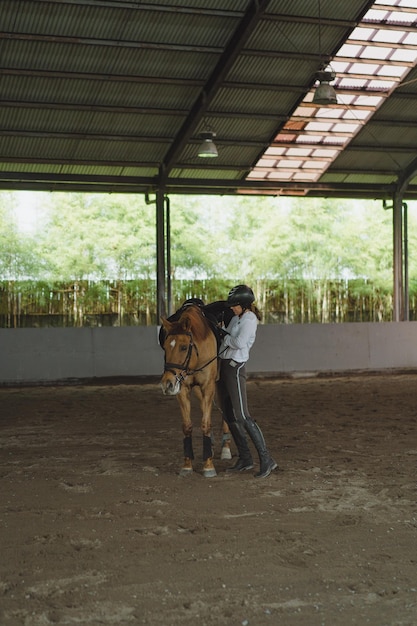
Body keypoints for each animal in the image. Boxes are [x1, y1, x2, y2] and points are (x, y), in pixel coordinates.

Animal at [159, 304, 231, 476]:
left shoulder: (208, 385)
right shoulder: (183, 388)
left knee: (224, 408)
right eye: (165, 347)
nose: (167, 384)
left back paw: (225, 448)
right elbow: (187, 426)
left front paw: (209, 465)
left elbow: (206, 423)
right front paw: (187, 465)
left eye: (184, 347)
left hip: (220, 383)